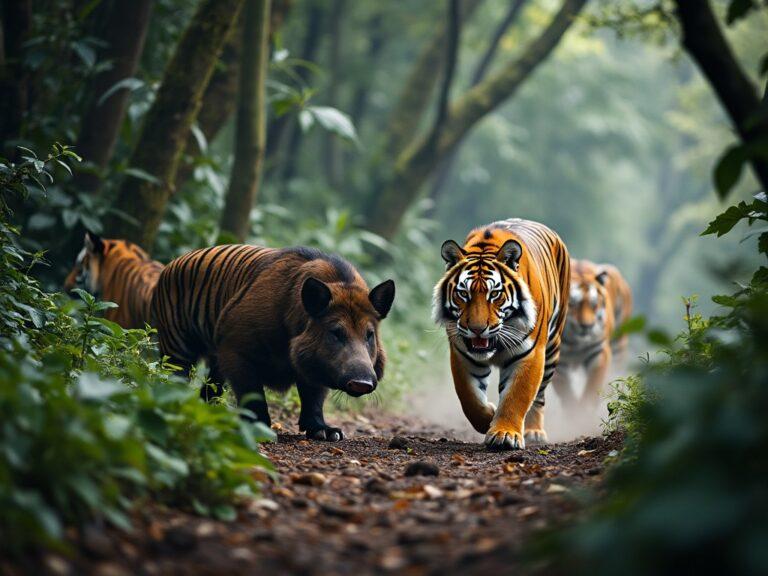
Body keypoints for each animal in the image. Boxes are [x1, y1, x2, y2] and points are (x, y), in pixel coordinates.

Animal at [436, 218, 568, 448]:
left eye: (495, 294)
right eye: (463, 294)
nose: (477, 329)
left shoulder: (530, 353)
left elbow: (516, 397)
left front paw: (505, 434)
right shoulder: (463, 355)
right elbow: (469, 398)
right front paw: (489, 416)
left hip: (552, 349)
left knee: (540, 396)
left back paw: (534, 432)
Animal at [556, 258, 632, 412]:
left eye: (594, 304)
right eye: (573, 304)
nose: (587, 326)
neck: (575, 342)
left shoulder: (599, 352)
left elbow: (591, 391)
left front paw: (584, 413)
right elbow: (566, 394)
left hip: (619, 346)